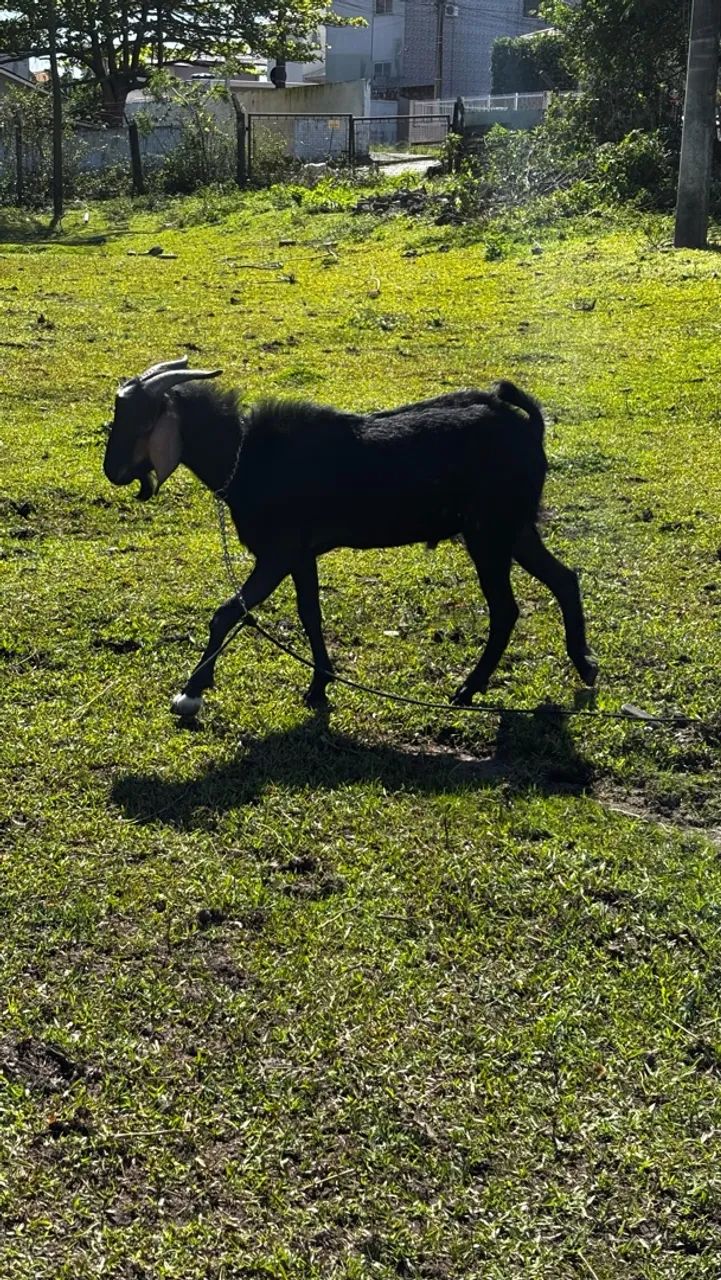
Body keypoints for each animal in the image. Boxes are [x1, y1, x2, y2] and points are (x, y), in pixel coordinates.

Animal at [103, 357, 598, 717]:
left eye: (139, 418)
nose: (112, 472)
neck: (245, 456)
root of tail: (530, 427)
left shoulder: (278, 552)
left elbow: (227, 613)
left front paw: (192, 691)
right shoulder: (301, 556)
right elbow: (310, 615)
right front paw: (320, 684)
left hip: (488, 533)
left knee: (506, 609)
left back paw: (468, 690)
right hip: (513, 528)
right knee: (564, 578)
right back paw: (584, 665)